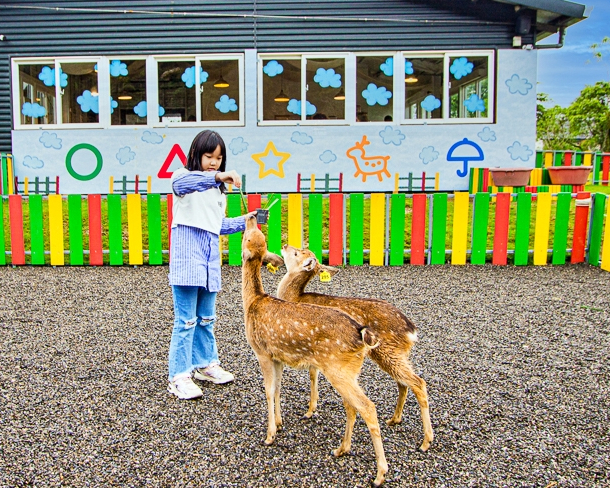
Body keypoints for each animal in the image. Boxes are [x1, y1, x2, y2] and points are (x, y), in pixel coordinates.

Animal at [240, 215, 388, 486]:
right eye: (259, 238)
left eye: (249, 238)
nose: (252, 217)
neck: (252, 302)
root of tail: (362, 336)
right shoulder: (278, 356)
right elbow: (278, 389)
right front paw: (280, 423)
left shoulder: (262, 352)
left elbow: (268, 391)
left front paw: (269, 435)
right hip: (348, 372)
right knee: (352, 406)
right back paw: (342, 449)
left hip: (338, 368)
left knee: (368, 407)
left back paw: (380, 474)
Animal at [276, 246, 432, 452]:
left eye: (298, 253)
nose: (285, 246)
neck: (294, 297)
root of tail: (411, 331)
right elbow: (313, 375)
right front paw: (311, 409)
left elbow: (311, 375)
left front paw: (309, 411)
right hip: (395, 354)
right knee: (403, 382)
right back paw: (394, 419)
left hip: (388, 352)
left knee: (418, 382)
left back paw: (425, 441)